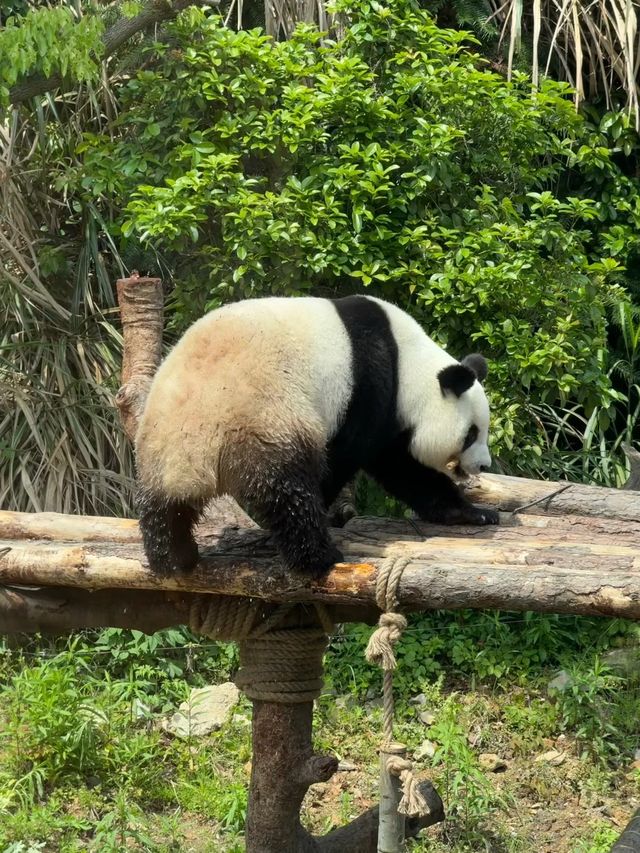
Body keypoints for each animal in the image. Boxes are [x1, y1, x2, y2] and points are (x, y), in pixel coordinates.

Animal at [134, 294, 496, 580]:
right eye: (471, 434)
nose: (484, 465)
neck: (407, 360)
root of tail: (194, 457)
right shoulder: (370, 387)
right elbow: (369, 458)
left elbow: (403, 469)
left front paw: (475, 513)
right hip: (264, 419)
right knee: (287, 490)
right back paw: (319, 558)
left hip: (159, 440)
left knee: (163, 507)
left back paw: (173, 559)